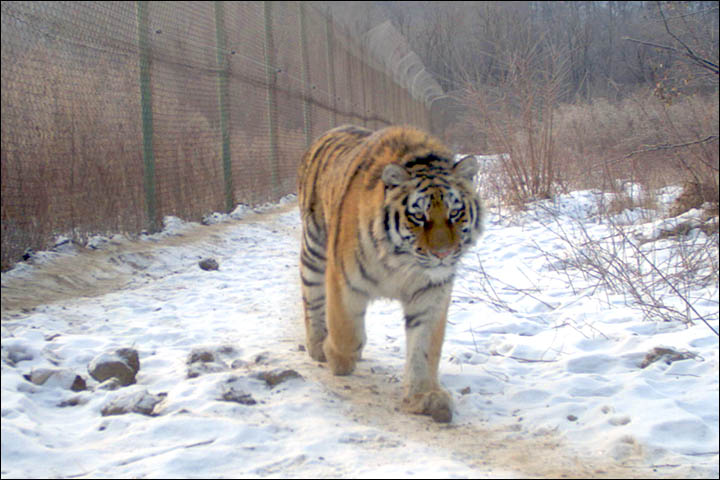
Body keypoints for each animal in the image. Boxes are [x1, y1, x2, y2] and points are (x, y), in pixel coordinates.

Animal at [298, 124, 484, 424]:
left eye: (455, 213)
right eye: (419, 216)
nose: (443, 254)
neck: (402, 263)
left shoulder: (430, 293)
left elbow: (424, 348)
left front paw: (425, 396)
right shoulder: (343, 280)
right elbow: (345, 331)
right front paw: (337, 357)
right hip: (314, 249)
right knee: (312, 297)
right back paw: (317, 346)